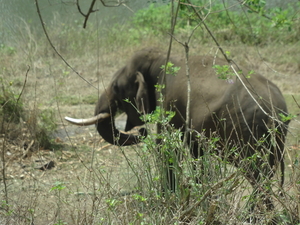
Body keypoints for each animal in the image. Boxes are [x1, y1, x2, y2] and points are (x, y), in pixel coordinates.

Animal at [65, 47, 288, 209]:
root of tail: (276, 112)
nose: (141, 132)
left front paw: (168, 200)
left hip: (247, 133)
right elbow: (196, 152)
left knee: (256, 175)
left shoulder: (168, 102)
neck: (160, 55)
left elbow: (166, 146)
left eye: (116, 88)